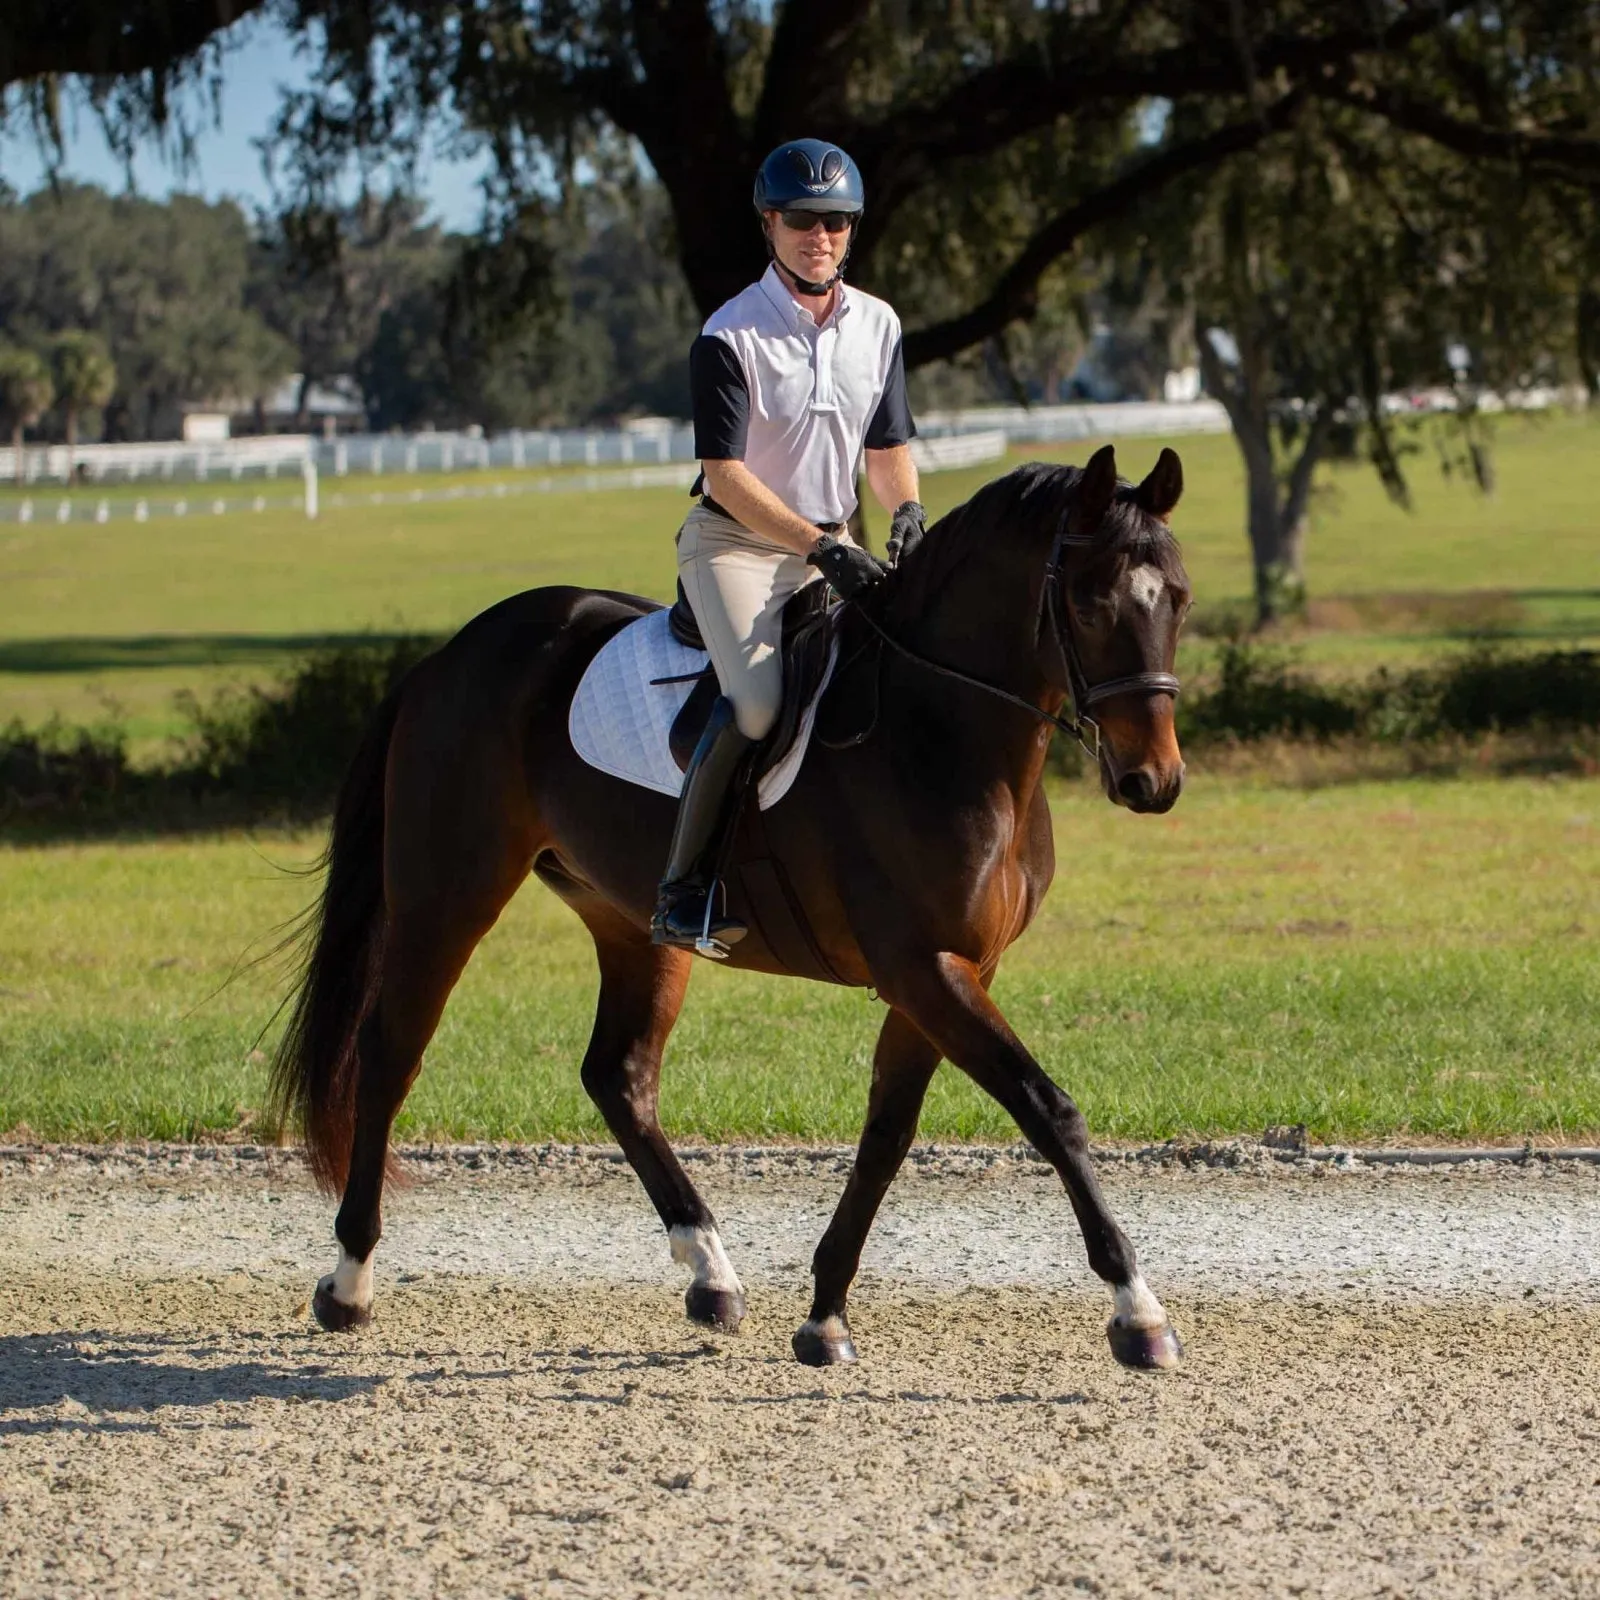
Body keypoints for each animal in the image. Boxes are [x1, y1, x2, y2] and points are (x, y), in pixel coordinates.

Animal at [272, 444, 1190, 1369]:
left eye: (1177, 598)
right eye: (1088, 602)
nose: (1153, 782)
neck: (943, 728)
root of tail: (449, 655)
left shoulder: (954, 970)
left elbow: (887, 1133)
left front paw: (825, 1315)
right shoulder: (922, 967)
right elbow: (1049, 1111)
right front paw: (1137, 1312)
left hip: (631, 921)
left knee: (619, 1075)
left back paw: (710, 1271)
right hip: (445, 896)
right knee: (390, 1052)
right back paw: (349, 1281)